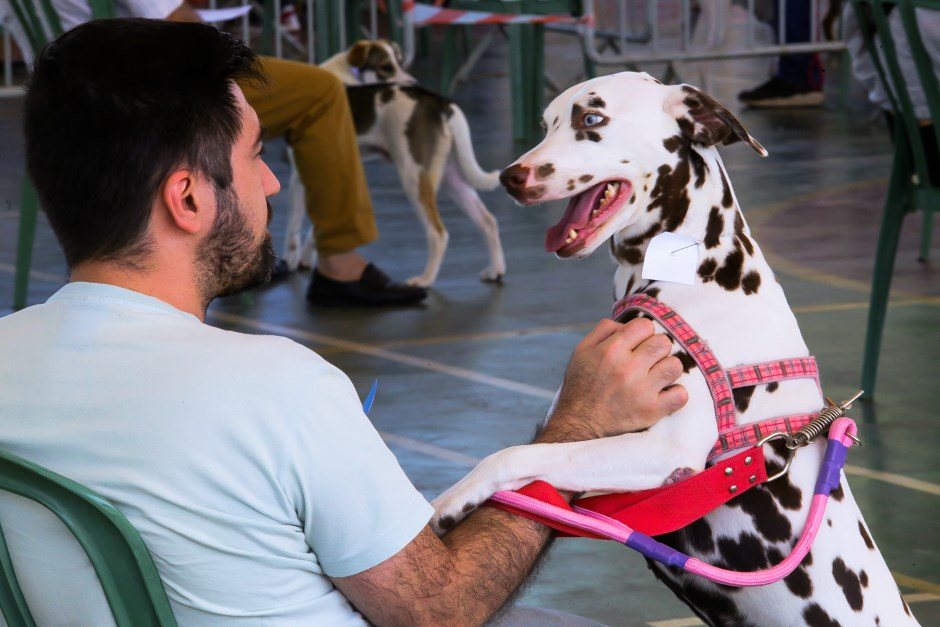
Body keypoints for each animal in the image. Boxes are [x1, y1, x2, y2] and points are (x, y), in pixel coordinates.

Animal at [282, 36, 506, 288]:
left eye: (399, 63)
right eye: (386, 67)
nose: (413, 81)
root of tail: (440, 103)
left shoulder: (299, 177)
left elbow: (294, 228)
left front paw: (291, 260)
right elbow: (320, 226)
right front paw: (309, 256)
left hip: (414, 178)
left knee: (438, 233)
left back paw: (424, 280)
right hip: (450, 177)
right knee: (487, 220)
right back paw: (495, 270)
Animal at [432, 72, 916, 627]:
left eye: (591, 118)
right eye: (546, 123)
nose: (511, 177)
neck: (693, 269)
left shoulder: (665, 453)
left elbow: (508, 456)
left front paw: (447, 502)